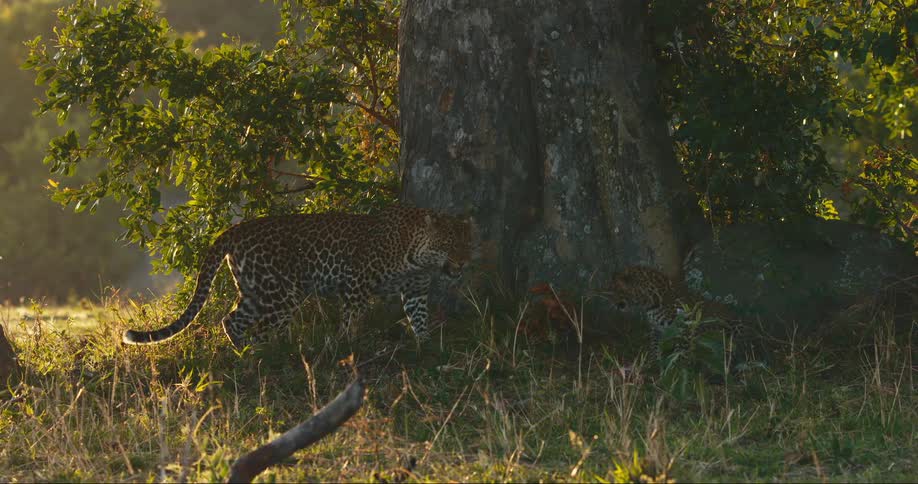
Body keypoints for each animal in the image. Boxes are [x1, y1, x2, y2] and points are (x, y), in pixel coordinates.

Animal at [123, 205, 472, 350]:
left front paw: (425, 345)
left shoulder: (415, 291)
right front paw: (345, 344)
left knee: (231, 319)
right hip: (282, 293)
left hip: (256, 290)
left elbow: (419, 317)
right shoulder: (356, 283)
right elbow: (351, 318)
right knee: (261, 328)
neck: (418, 258)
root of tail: (235, 229)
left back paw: (246, 351)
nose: (465, 262)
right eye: (448, 245)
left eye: (467, 240)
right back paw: (266, 352)